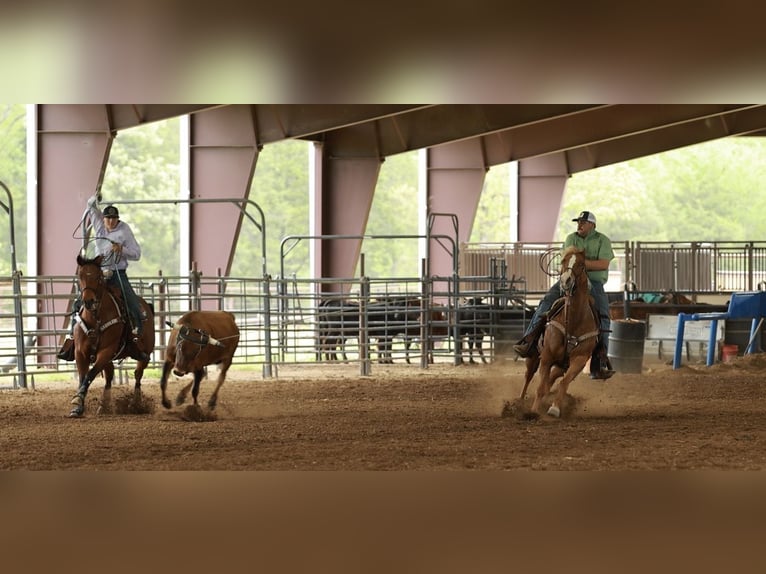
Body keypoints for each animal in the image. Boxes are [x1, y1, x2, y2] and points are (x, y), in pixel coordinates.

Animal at [68, 254, 155, 418]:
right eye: (80, 276)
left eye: (98, 277)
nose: (88, 301)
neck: (95, 318)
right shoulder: (80, 352)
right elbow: (83, 377)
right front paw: (77, 407)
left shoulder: (107, 350)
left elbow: (90, 374)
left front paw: (77, 399)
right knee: (109, 377)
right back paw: (104, 406)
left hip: (145, 353)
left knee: (138, 375)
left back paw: (135, 404)